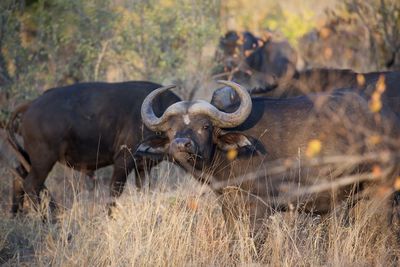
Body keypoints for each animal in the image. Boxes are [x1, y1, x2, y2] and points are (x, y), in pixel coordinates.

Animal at [7, 81, 180, 216]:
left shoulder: (143, 168)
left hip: (30, 158)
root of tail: (31, 104)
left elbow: (143, 191)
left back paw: (17, 216)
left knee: (18, 175)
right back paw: (47, 220)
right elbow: (114, 191)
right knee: (31, 184)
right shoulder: (123, 161)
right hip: (44, 159)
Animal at [136, 81, 398, 237]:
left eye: (205, 126)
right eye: (171, 130)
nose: (181, 144)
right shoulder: (229, 206)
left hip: (380, 191)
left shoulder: (259, 207)